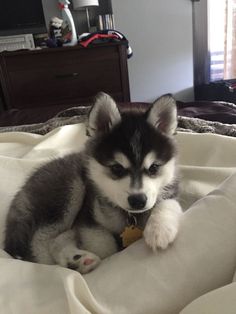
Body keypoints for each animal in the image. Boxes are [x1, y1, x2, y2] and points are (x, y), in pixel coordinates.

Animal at [4, 92, 183, 272]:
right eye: (117, 168)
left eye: (154, 168)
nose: (138, 201)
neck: (129, 216)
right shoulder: (88, 216)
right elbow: (106, 248)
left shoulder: (170, 193)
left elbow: (169, 203)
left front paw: (159, 230)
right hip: (69, 191)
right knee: (43, 239)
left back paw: (77, 259)